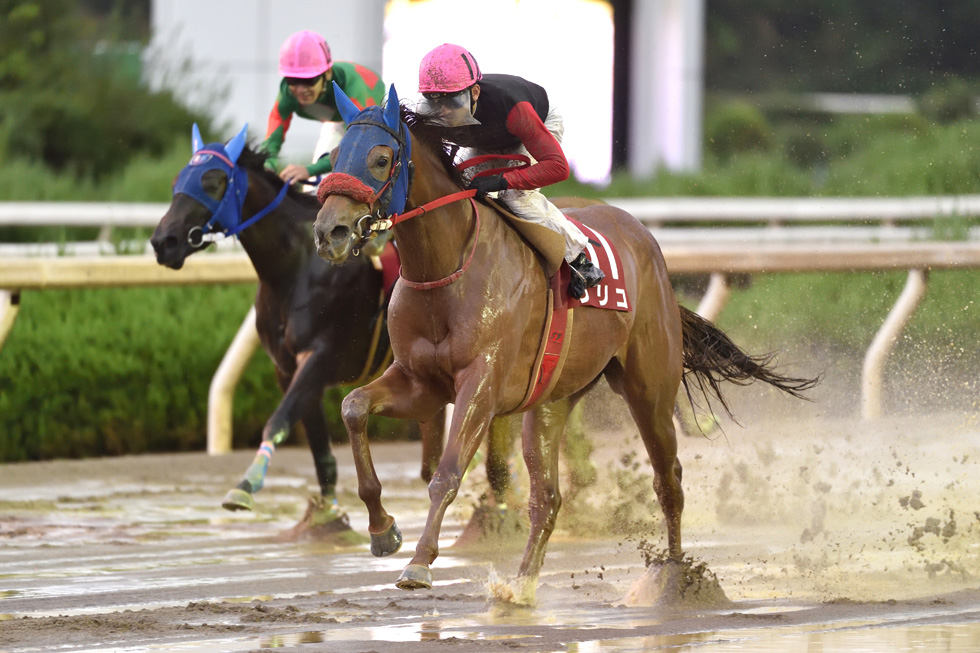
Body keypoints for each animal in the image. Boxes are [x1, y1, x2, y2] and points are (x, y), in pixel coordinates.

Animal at [312, 85, 817, 603]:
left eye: (380, 158)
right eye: (335, 154)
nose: (329, 232)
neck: (445, 267)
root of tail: (643, 237)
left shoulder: (480, 384)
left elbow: (447, 472)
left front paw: (419, 562)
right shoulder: (422, 383)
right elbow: (353, 408)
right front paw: (382, 529)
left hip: (649, 387)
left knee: (668, 478)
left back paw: (675, 577)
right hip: (554, 398)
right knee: (548, 496)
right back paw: (521, 586)